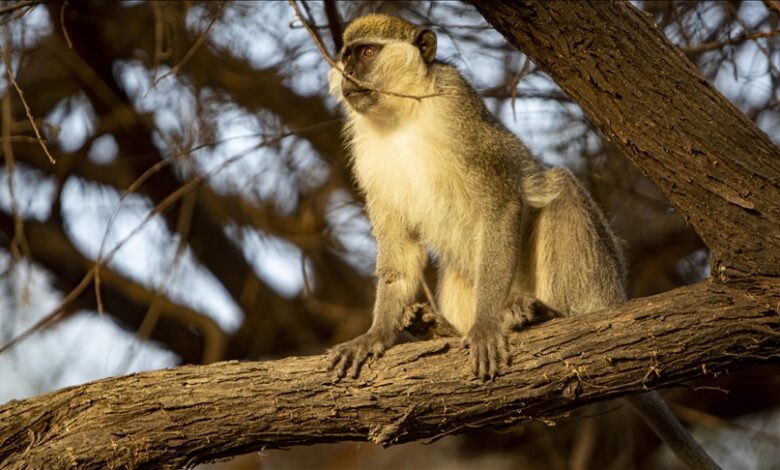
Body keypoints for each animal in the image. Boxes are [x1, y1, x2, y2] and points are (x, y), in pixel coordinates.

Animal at [322, 12, 720, 468]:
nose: (347, 75)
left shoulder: (456, 109)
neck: (402, 115)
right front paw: (375, 336)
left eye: (367, 53)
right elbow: (400, 255)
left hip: (597, 283)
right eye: (346, 56)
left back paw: (547, 314)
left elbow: (502, 204)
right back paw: (438, 329)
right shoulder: (367, 154)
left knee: (562, 191)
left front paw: (485, 325)